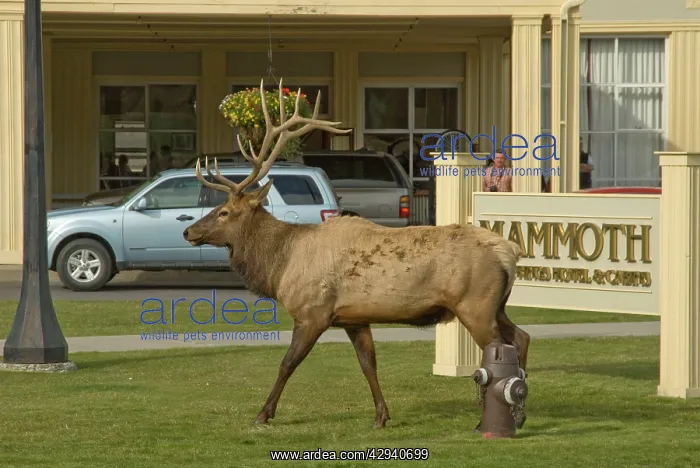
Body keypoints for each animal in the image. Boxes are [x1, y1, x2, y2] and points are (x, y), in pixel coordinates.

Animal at [183, 79, 531, 431]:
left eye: (224, 212)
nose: (189, 231)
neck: (281, 265)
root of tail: (510, 251)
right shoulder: (355, 318)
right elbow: (368, 364)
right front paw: (381, 416)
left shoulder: (313, 312)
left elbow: (287, 363)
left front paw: (263, 414)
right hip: (494, 305)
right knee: (522, 337)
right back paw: (519, 412)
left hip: (475, 305)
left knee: (500, 347)